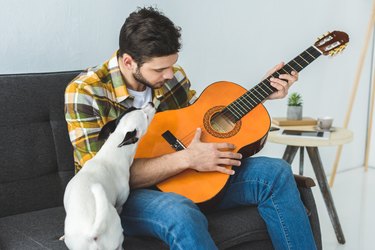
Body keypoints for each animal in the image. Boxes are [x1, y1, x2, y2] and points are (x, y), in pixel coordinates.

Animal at [63, 102, 156, 250]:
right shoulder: (120, 202)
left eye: (134, 108)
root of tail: (92, 234)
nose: (151, 103)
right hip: (116, 233)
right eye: (146, 117)